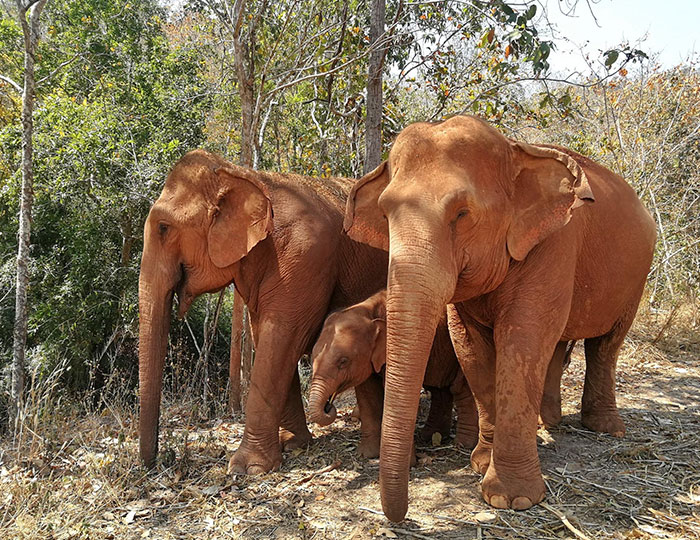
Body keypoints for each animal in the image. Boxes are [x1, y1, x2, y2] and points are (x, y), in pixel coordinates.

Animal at [138, 149, 389, 474]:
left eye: (163, 228)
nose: (155, 463)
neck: (248, 177)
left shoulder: (307, 254)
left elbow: (281, 335)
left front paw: (247, 469)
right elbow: (265, 334)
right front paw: (293, 445)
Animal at [308, 288, 479, 458]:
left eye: (343, 361)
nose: (328, 406)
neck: (368, 310)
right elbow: (367, 394)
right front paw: (366, 455)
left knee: (460, 389)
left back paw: (463, 444)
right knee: (440, 390)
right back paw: (430, 437)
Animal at [343, 115, 656, 520]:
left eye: (462, 213)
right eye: (385, 214)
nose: (400, 517)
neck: (513, 150)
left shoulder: (554, 243)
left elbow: (523, 338)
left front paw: (512, 499)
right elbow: (470, 347)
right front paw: (480, 464)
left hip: (636, 279)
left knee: (606, 345)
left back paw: (606, 429)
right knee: (559, 345)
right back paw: (548, 423)